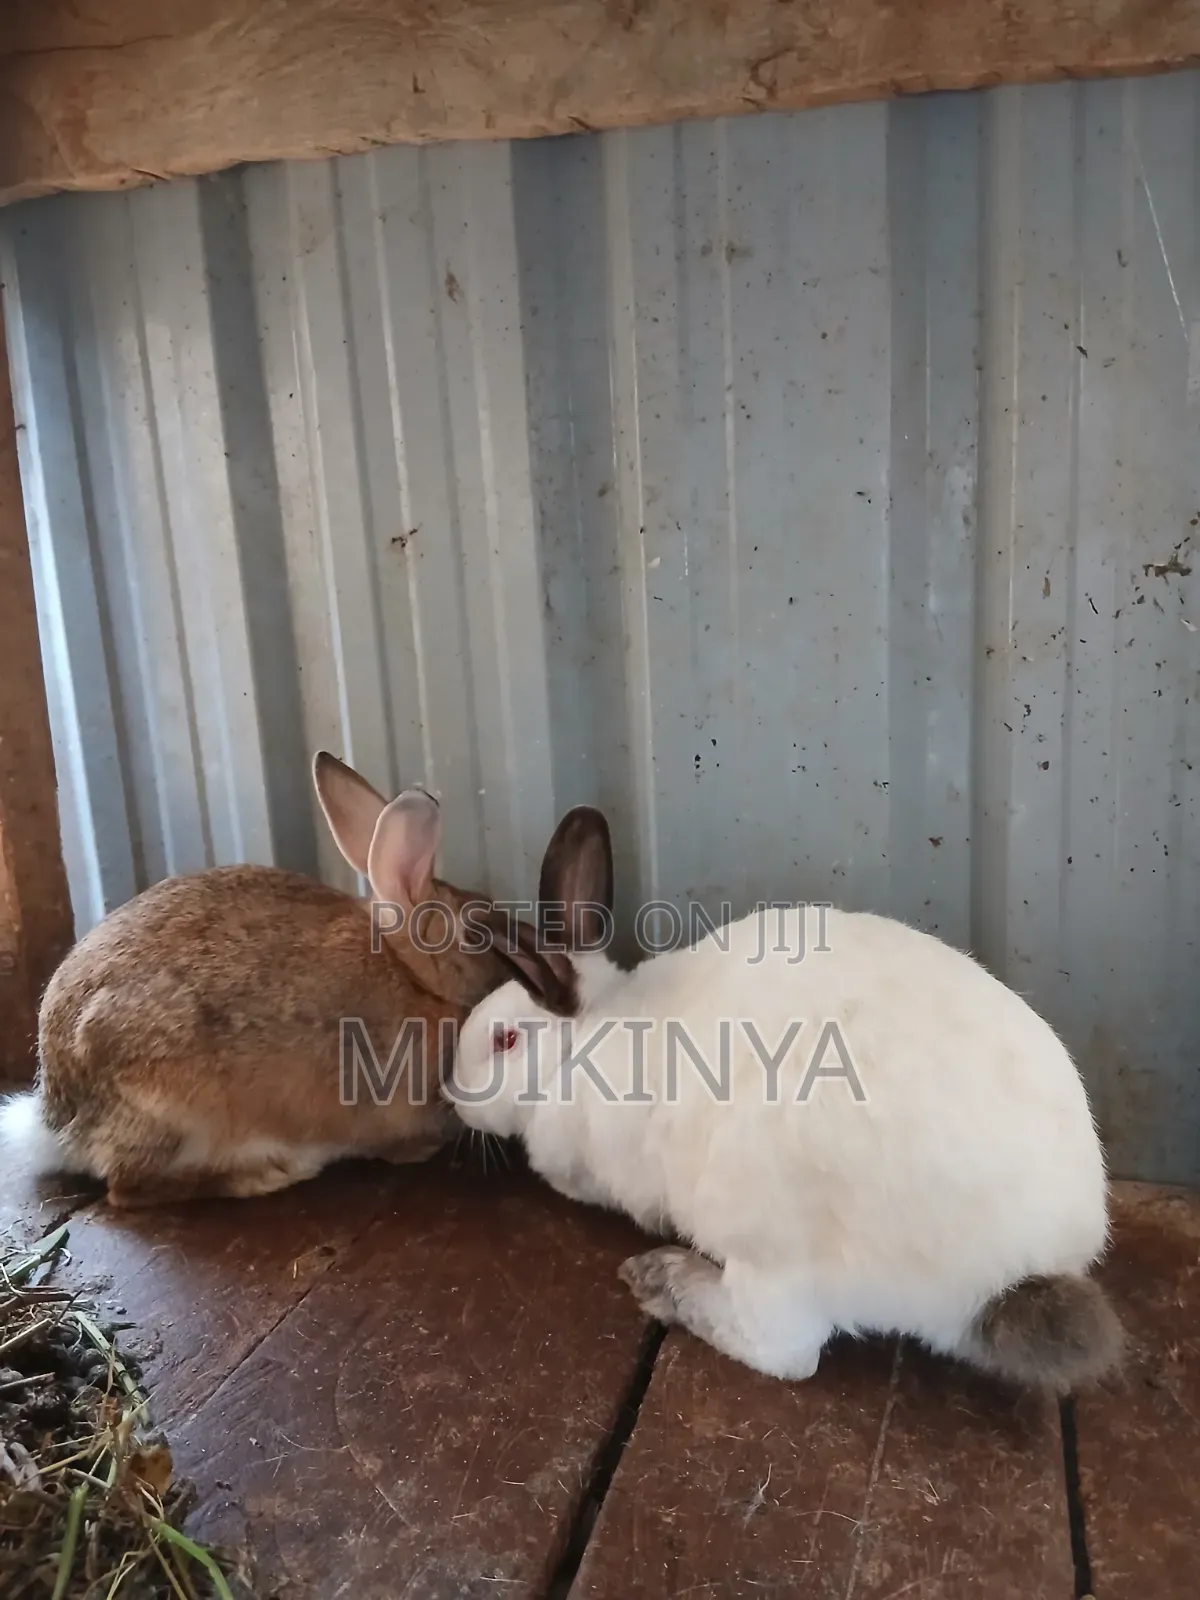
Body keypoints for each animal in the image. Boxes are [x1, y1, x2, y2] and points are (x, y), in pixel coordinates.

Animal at [0, 753, 514, 1208]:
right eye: (478, 933)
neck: (414, 978)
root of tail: (55, 1122)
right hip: (176, 1107)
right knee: (127, 1190)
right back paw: (266, 1174)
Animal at [448, 807, 1125, 1394]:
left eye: (504, 1039)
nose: (453, 1096)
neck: (582, 1046)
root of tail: (1016, 1274)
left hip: (764, 1236)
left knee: (784, 1350)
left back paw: (664, 1280)